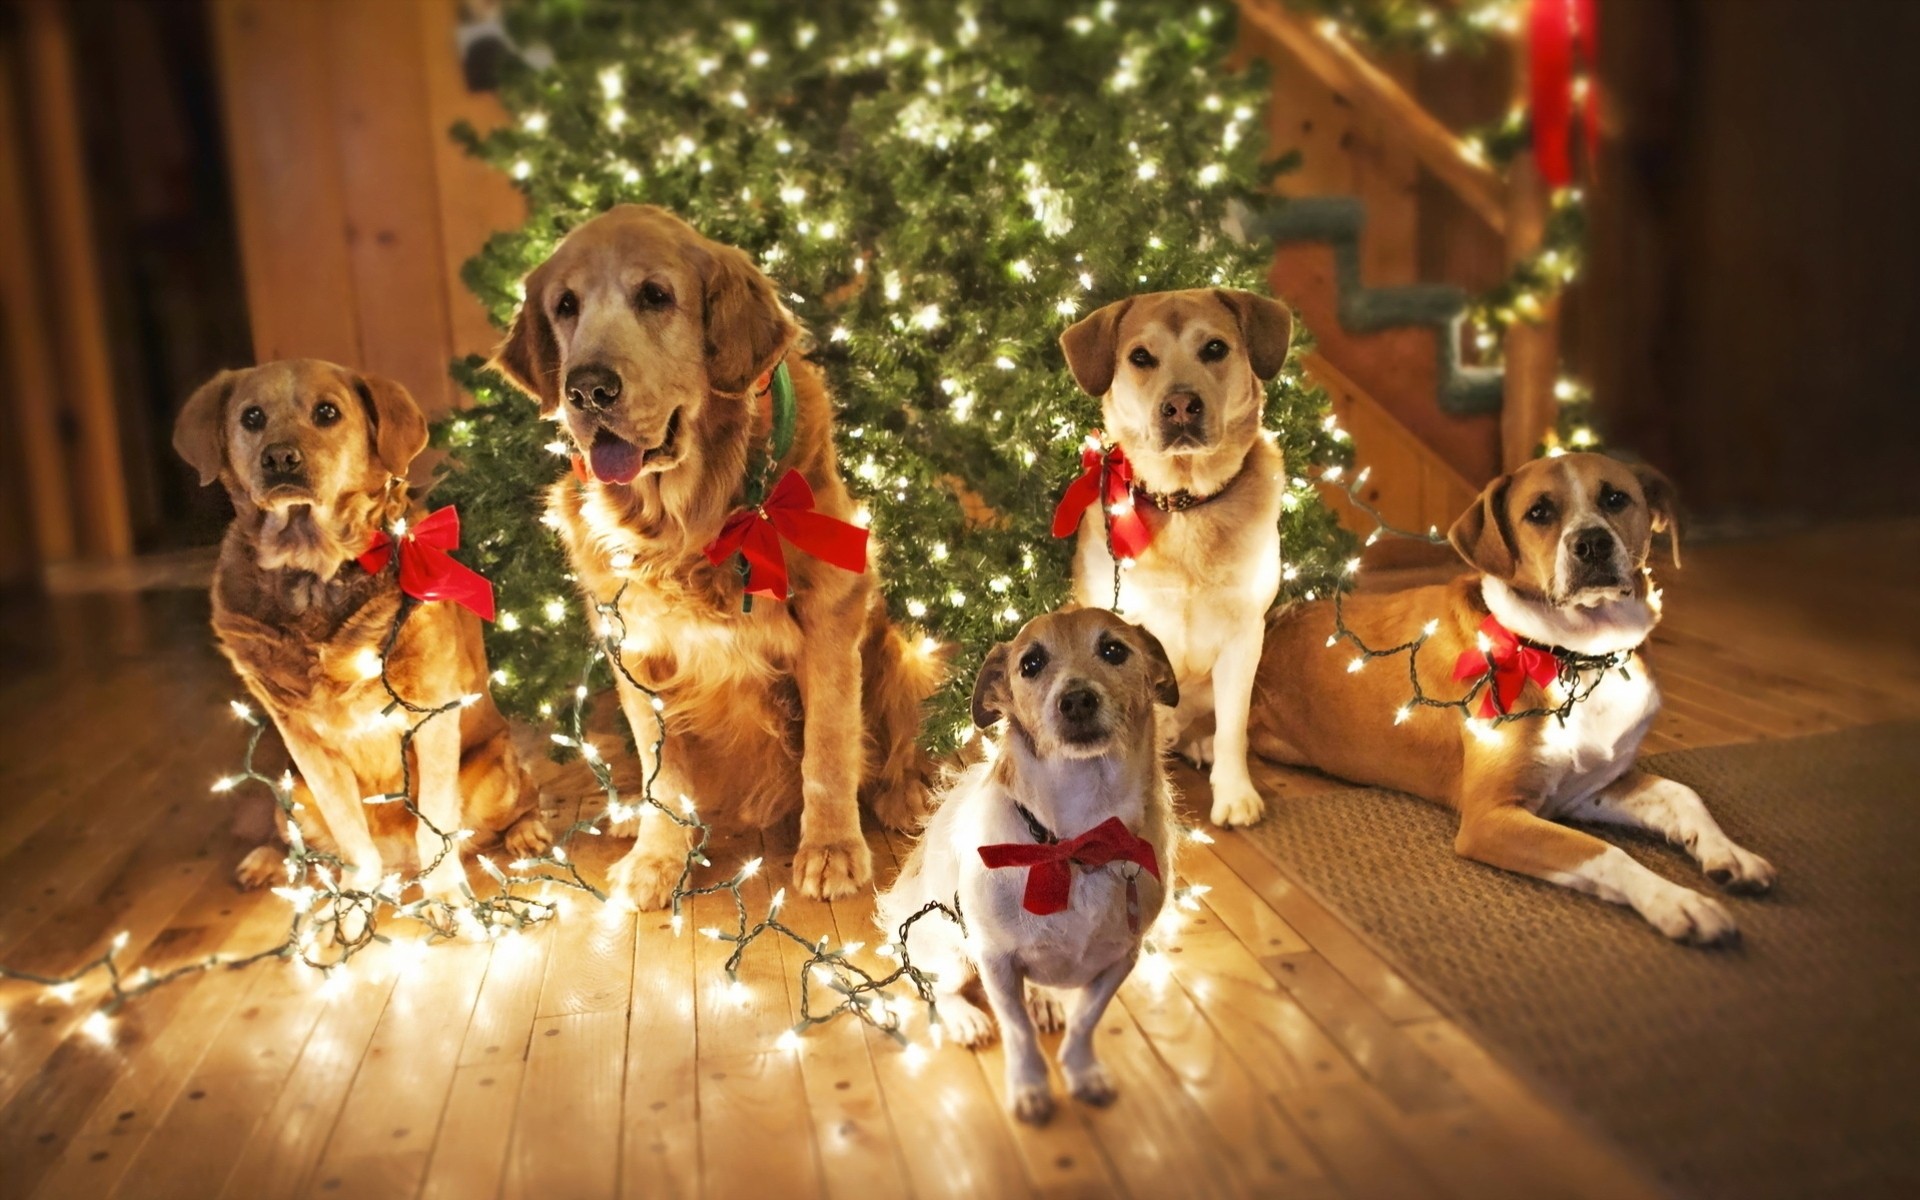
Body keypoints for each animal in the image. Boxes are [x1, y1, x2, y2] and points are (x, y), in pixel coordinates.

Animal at [173, 360, 549, 902]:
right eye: (252, 417)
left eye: (327, 412)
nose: (280, 458)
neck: (315, 573)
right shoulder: (304, 740)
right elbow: (348, 829)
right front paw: (354, 897)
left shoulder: (432, 715)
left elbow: (435, 818)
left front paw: (446, 895)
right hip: (291, 787)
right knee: (296, 838)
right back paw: (271, 859)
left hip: (496, 769)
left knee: (521, 801)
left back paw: (526, 832)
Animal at [495, 201, 936, 902]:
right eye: (565, 306)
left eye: (656, 296)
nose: (587, 390)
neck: (690, 522)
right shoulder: (633, 649)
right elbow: (662, 768)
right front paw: (657, 857)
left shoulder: (831, 618)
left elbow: (829, 748)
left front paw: (832, 850)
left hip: (898, 652)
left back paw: (906, 794)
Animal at [879, 606, 1175, 1121]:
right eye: (1031, 664)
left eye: (1114, 650)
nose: (1076, 700)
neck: (1076, 840)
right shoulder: (995, 960)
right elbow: (1017, 1031)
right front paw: (1030, 1087)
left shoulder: (1121, 959)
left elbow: (1085, 1022)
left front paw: (1083, 1071)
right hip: (948, 950)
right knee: (936, 986)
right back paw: (965, 1018)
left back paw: (1043, 999)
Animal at [1059, 286, 1297, 829]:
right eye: (1140, 357)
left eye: (1214, 348)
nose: (1182, 406)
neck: (1186, 504)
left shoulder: (1243, 633)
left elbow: (1234, 727)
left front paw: (1234, 793)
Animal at [1251, 451, 1774, 944]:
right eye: (1539, 512)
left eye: (1615, 498)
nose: (1592, 543)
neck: (1575, 655)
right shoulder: (1491, 816)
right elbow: (1607, 852)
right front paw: (1677, 902)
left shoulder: (1582, 789)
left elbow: (1681, 793)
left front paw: (1730, 854)